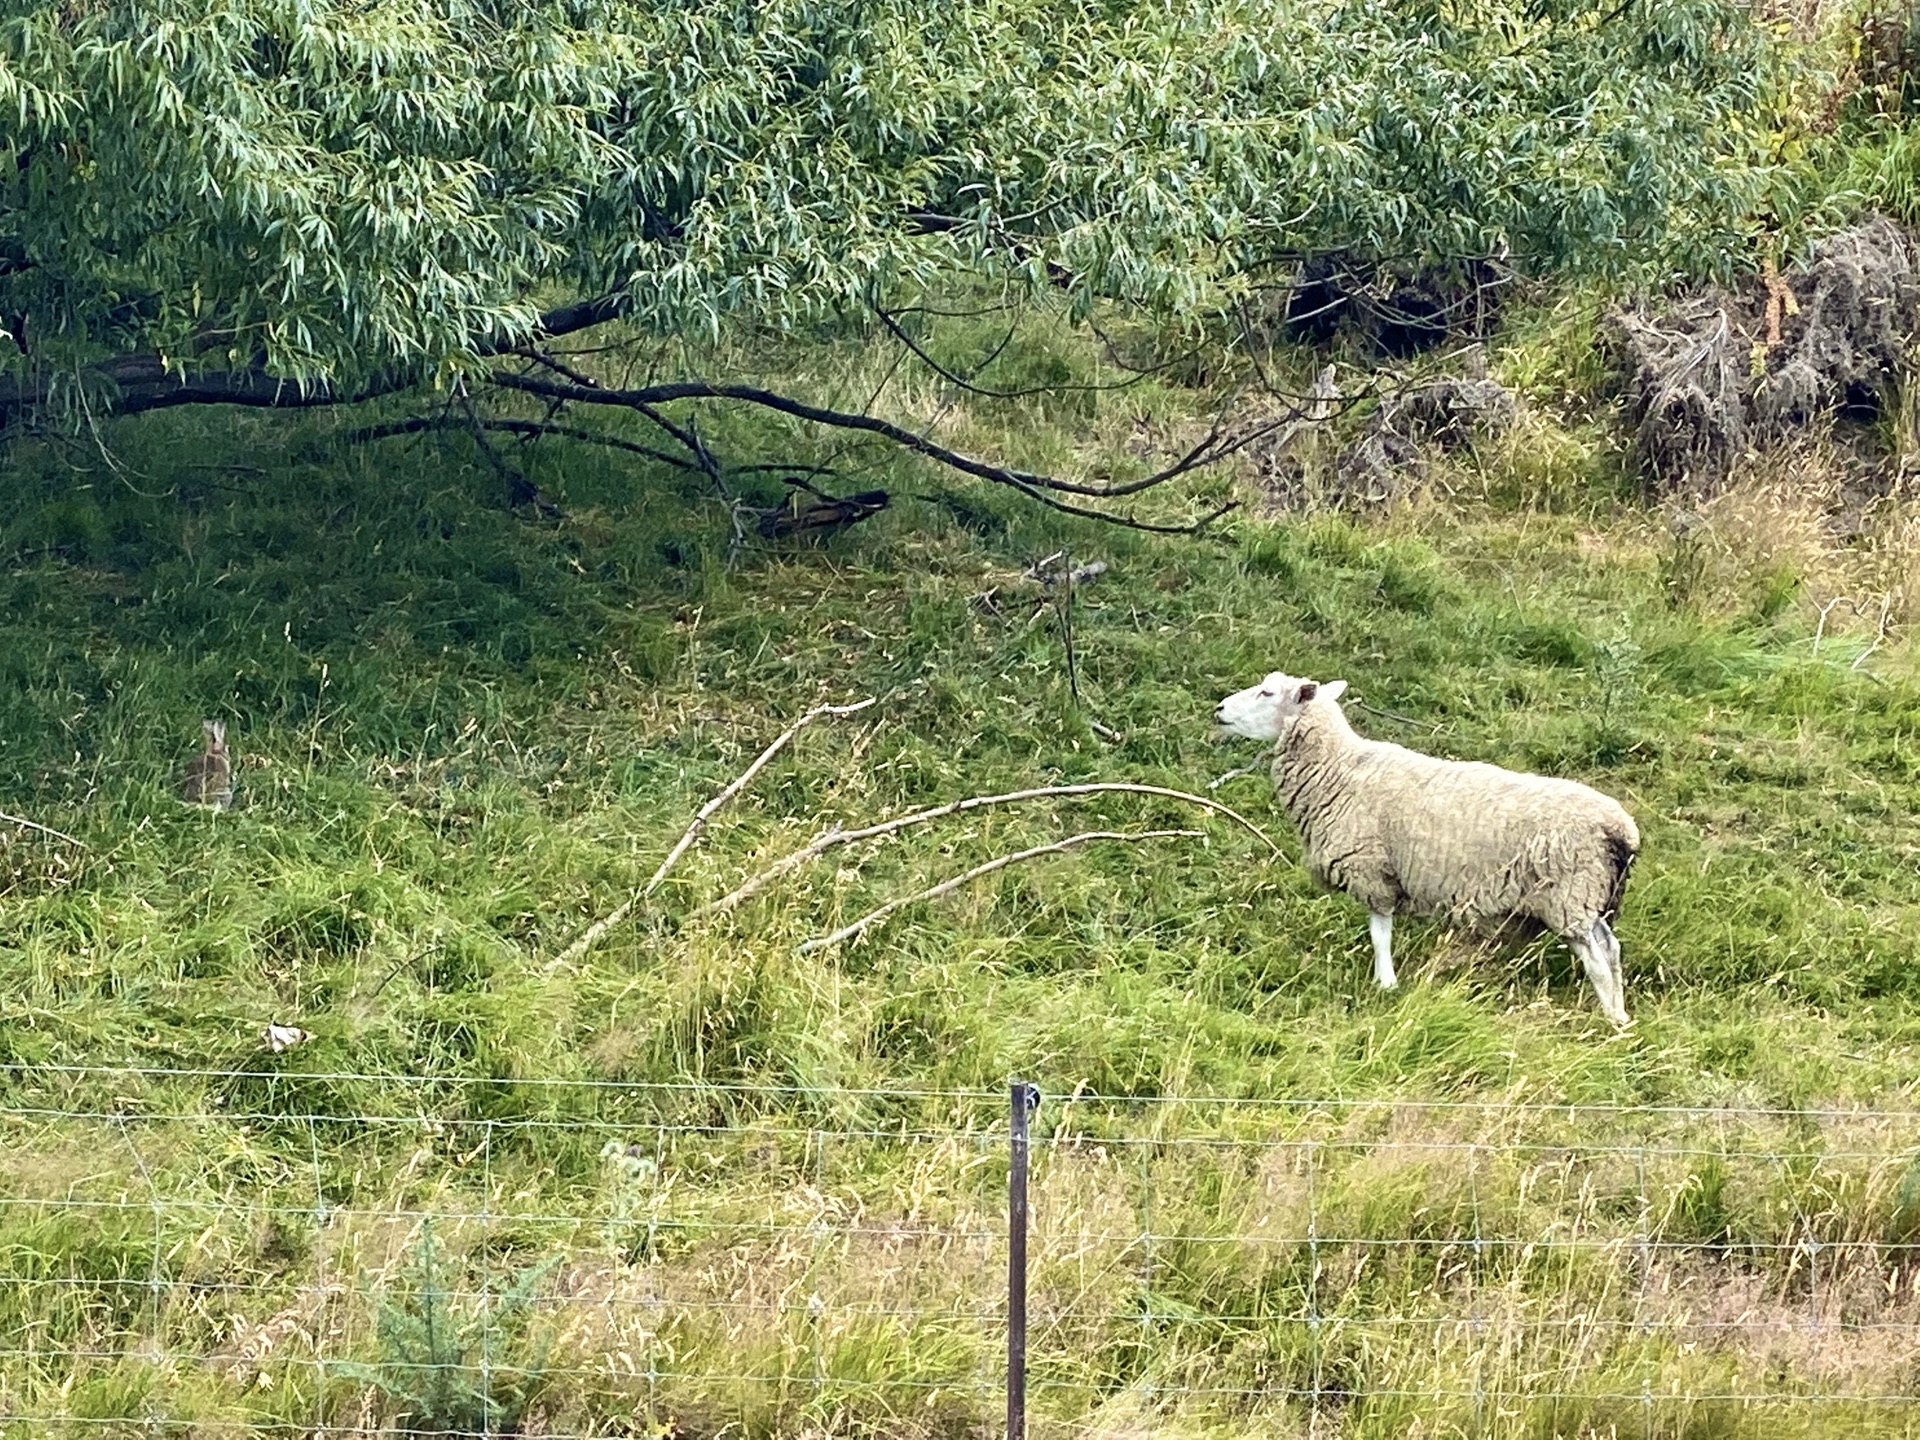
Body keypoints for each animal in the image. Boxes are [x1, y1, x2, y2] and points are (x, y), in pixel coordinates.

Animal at [1213, 672, 1635, 1029]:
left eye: (1267, 692)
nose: (1218, 710)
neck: (1338, 768)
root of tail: (1620, 828)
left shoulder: (1372, 869)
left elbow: (1379, 934)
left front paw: (1385, 984)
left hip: (1569, 893)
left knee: (1598, 959)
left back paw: (1610, 1021)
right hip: (1588, 897)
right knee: (1612, 949)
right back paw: (1623, 1017)